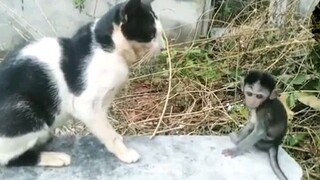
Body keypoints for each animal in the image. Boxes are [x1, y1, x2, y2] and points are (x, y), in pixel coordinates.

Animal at [0, 0, 165, 167]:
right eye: (151, 34)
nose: (163, 48)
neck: (108, 48)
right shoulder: (85, 105)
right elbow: (107, 132)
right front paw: (124, 152)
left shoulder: (103, 103)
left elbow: (106, 126)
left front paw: (117, 137)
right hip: (25, 112)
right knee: (8, 158)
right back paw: (55, 157)